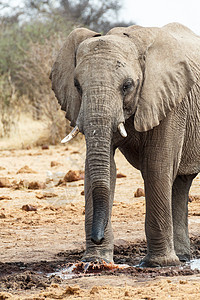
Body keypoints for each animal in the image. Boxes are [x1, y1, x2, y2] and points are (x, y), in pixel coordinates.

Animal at [50, 23, 200, 268]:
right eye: (77, 86)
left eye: (127, 86)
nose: (97, 236)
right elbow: (99, 170)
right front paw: (95, 261)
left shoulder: (171, 102)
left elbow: (156, 167)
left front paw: (158, 264)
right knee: (181, 183)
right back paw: (183, 258)